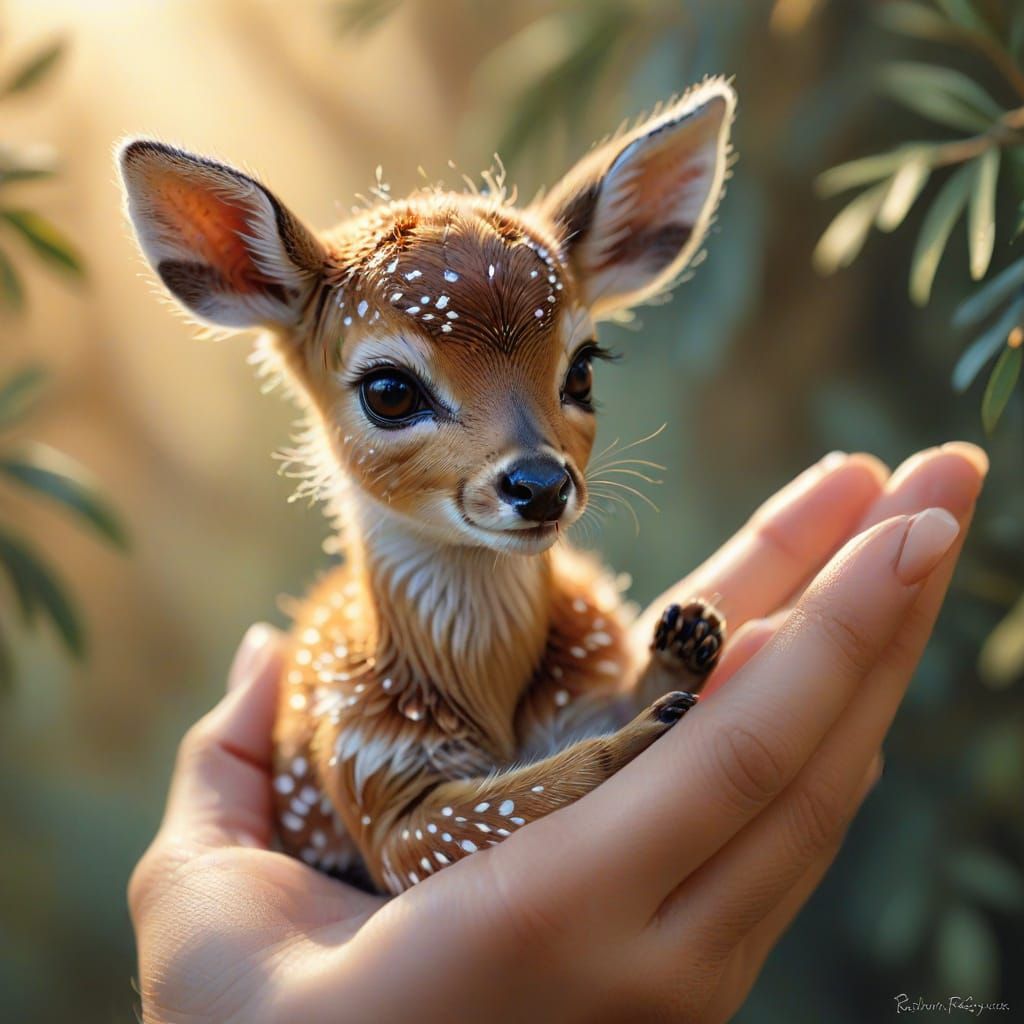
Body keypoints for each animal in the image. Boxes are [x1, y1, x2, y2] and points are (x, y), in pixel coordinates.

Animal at [119, 77, 735, 896]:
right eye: (389, 390)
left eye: (582, 368)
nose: (540, 484)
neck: (484, 693)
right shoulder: (377, 795)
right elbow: (524, 797)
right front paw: (651, 723)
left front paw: (688, 639)